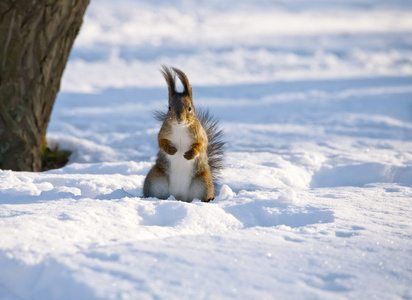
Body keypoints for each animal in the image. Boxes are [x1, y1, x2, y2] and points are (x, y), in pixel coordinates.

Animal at [143, 65, 224, 202]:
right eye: (169, 108)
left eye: (190, 108)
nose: (179, 119)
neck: (180, 128)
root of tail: (179, 196)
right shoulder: (163, 133)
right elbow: (161, 141)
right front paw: (171, 150)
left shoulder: (200, 134)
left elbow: (201, 144)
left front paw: (189, 154)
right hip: (155, 179)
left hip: (203, 183)